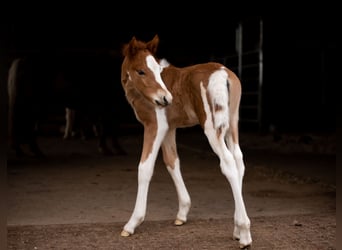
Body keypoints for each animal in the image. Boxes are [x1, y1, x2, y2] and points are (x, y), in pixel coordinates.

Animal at [119, 35, 251, 248]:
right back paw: (237, 230)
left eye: (157, 70)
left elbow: (145, 168)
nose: (166, 98)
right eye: (141, 71)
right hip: (232, 122)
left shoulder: (155, 126)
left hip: (212, 126)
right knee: (239, 160)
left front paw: (132, 224)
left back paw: (245, 234)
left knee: (228, 163)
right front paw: (182, 213)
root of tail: (223, 74)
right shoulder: (170, 128)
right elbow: (172, 162)